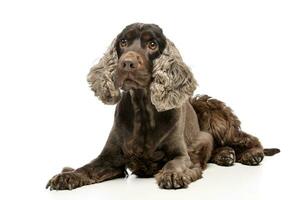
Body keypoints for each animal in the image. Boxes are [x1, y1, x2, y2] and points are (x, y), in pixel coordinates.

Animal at [46, 22, 278, 190]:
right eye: (123, 42)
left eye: (152, 45)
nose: (127, 63)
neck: (142, 110)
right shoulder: (109, 159)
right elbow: (86, 168)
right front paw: (67, 176)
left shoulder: (181, 153)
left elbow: (176, 162)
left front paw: (173, 174)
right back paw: (225, 155)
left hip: (214, 116)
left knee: (248, 138)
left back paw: (251, 154)